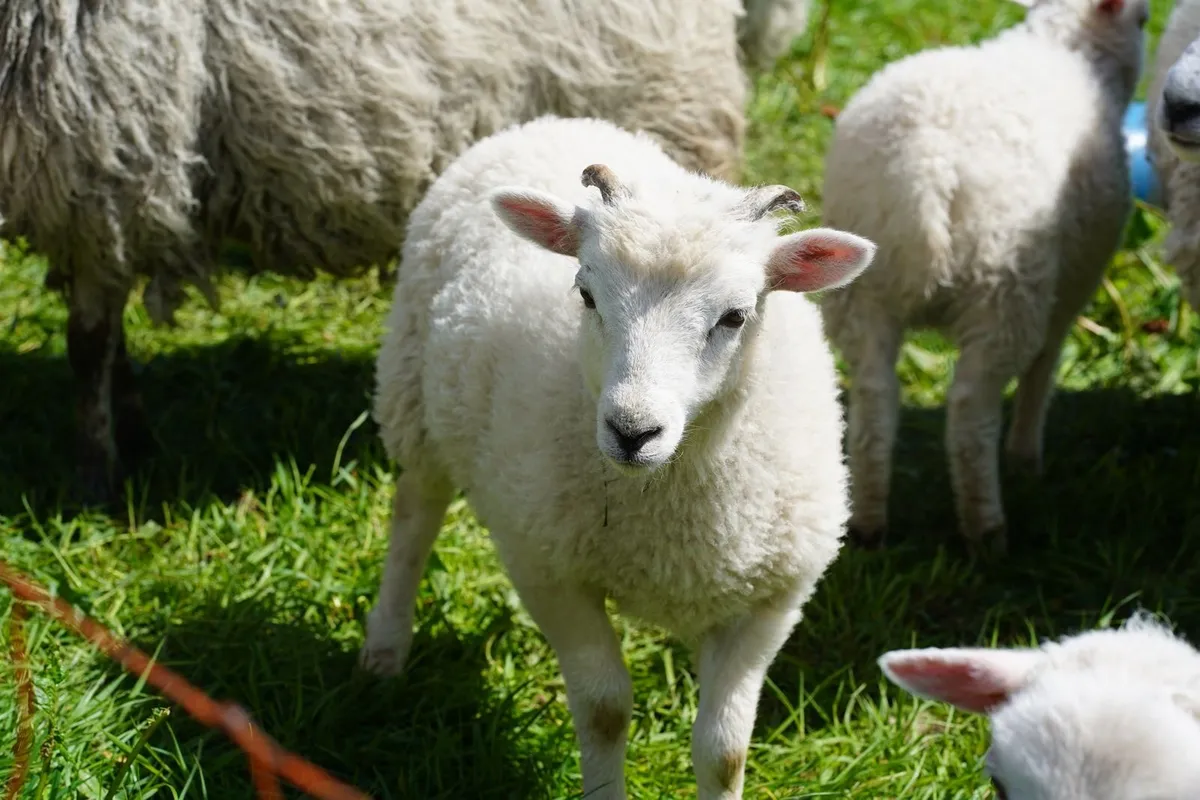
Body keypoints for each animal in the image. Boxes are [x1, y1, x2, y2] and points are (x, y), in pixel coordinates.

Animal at [0, 0, 763, 504]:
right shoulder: (101, 199)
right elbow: (106, 340)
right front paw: (131, 436)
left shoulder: (102, 170)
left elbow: (87, 344)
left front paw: (94, 479)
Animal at [357, 114, 876, 800]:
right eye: (586, 294)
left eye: (736, 316)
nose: (632, 430)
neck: (666, 512)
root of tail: (554, 119)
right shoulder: (548, 570)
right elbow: (605, 711)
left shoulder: (772, 600)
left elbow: (725, 750)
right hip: (413, 392)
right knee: (415, 518)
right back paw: (385, 646)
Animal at [818, 0, 1148, 555]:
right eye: (1144, 20)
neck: (1067, 49)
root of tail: (927, 170)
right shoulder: (1075, 279)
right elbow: (1044, 365)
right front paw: (1026, 457)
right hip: (1004, 281)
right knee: (971, 410)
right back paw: (986, 529)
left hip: (862, 289)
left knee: (874, 397)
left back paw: (867, 522)